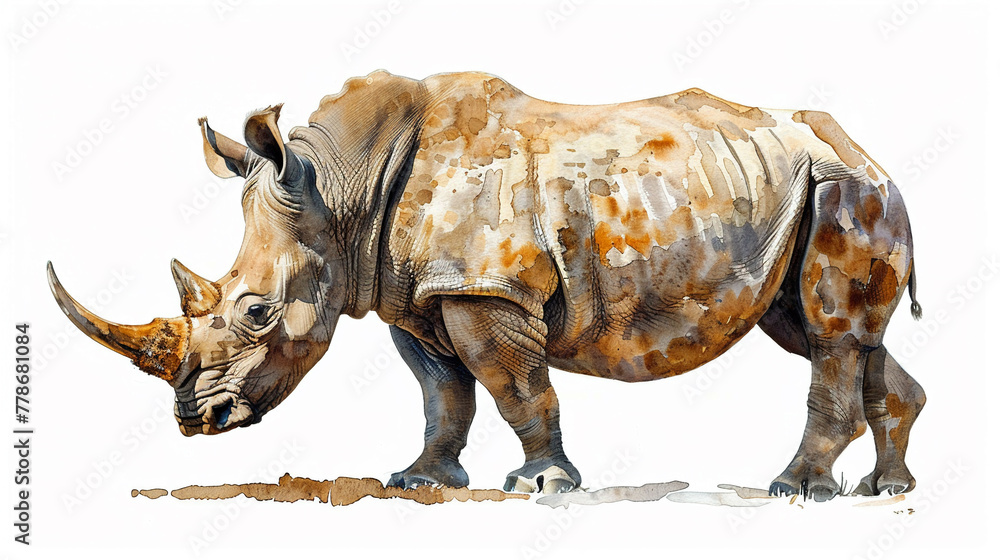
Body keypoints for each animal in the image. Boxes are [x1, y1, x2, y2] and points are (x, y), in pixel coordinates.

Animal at [48, 70, 925, 500]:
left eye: (257, 310)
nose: (195, 421)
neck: (339, 192)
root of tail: (870, 152)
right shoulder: (417, 295)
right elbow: (444, 396)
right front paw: (419, 481)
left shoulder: (485, 289)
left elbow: (515, 388)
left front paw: (541, 484)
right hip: (804, 187)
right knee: (829, 332)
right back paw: (881, 489)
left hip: (847, 190)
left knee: (831, 332)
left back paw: (796, 491)